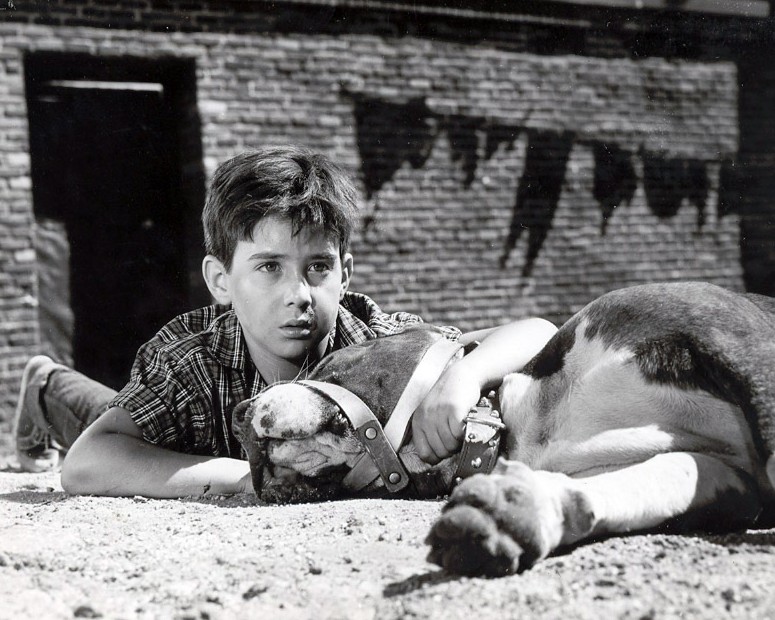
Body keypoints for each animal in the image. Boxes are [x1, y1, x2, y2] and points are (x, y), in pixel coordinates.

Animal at [232, 281, 775, 576]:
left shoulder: (728, 332)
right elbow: (652, 480)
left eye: (328, 366)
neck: (526, 420)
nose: (239, 414)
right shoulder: (728, 479)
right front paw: (526, 511)